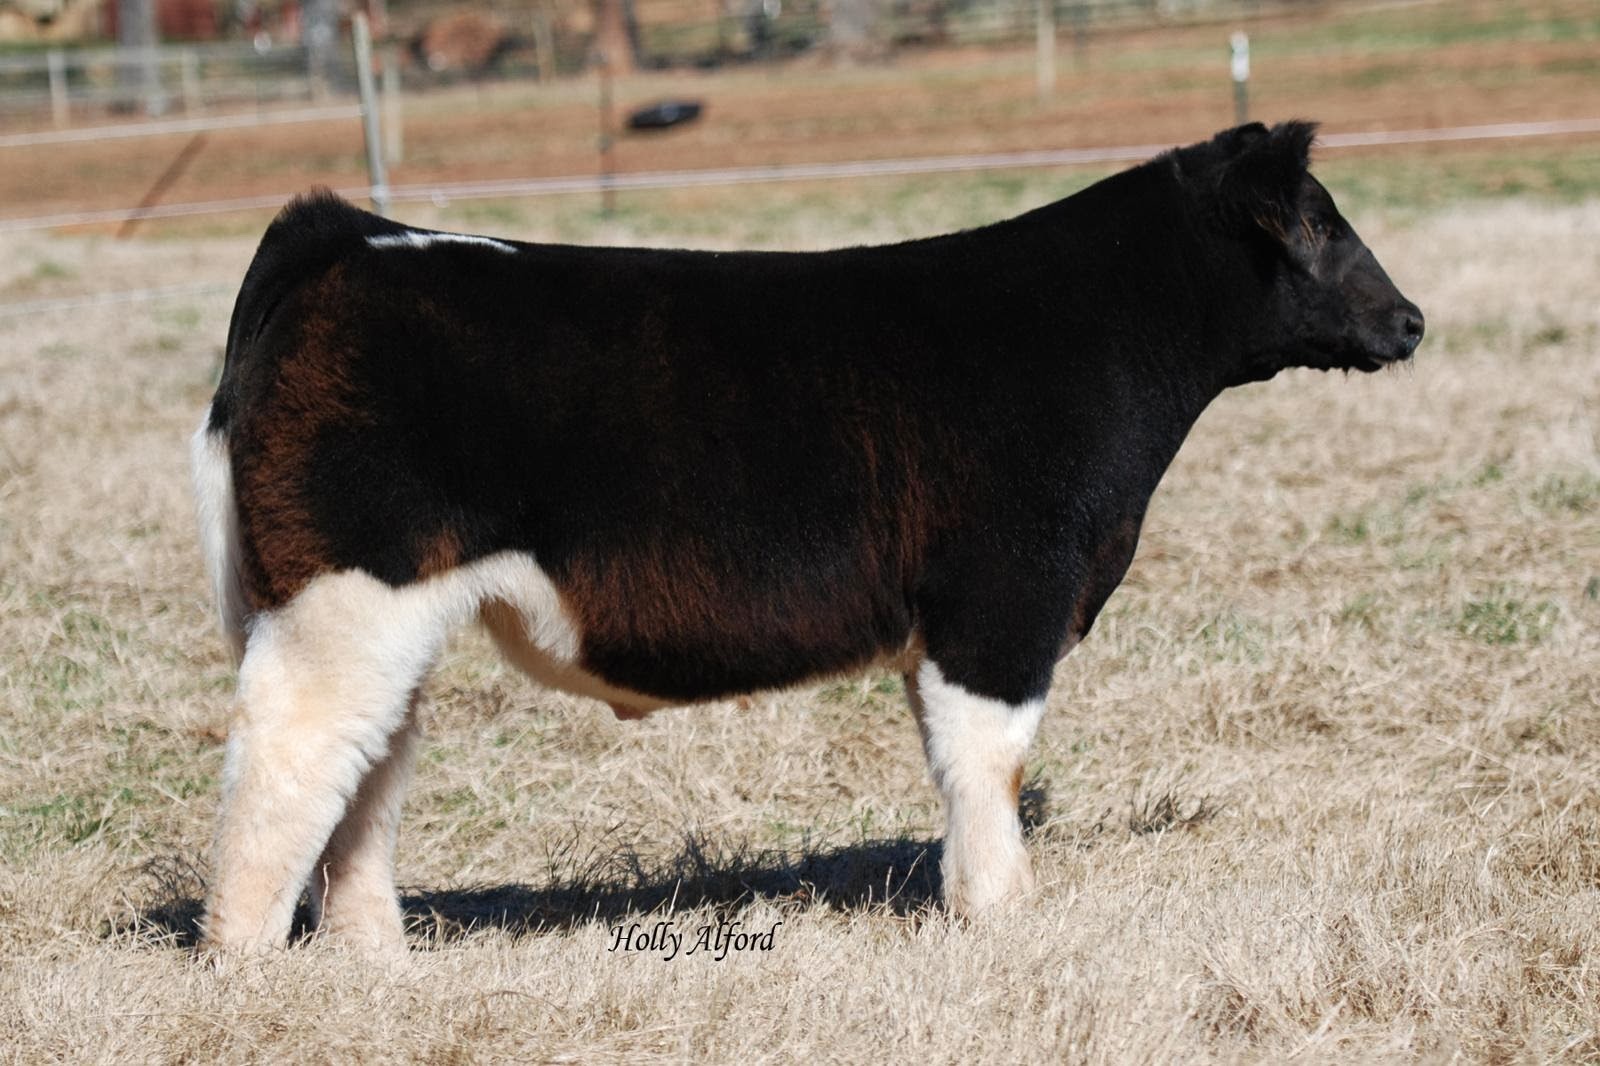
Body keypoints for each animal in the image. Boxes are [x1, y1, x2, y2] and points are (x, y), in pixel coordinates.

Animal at [189, 120, 1422, 952]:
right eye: (1314, 221)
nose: (1410, 320)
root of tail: (347, 234)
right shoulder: (1005, 598)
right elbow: (993, 760)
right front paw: (1005, 913)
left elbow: (957, 761)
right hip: (344, 598)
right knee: (285, 762)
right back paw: (250, 966)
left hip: (372, 615)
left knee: (367, 767)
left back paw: (375, 958)